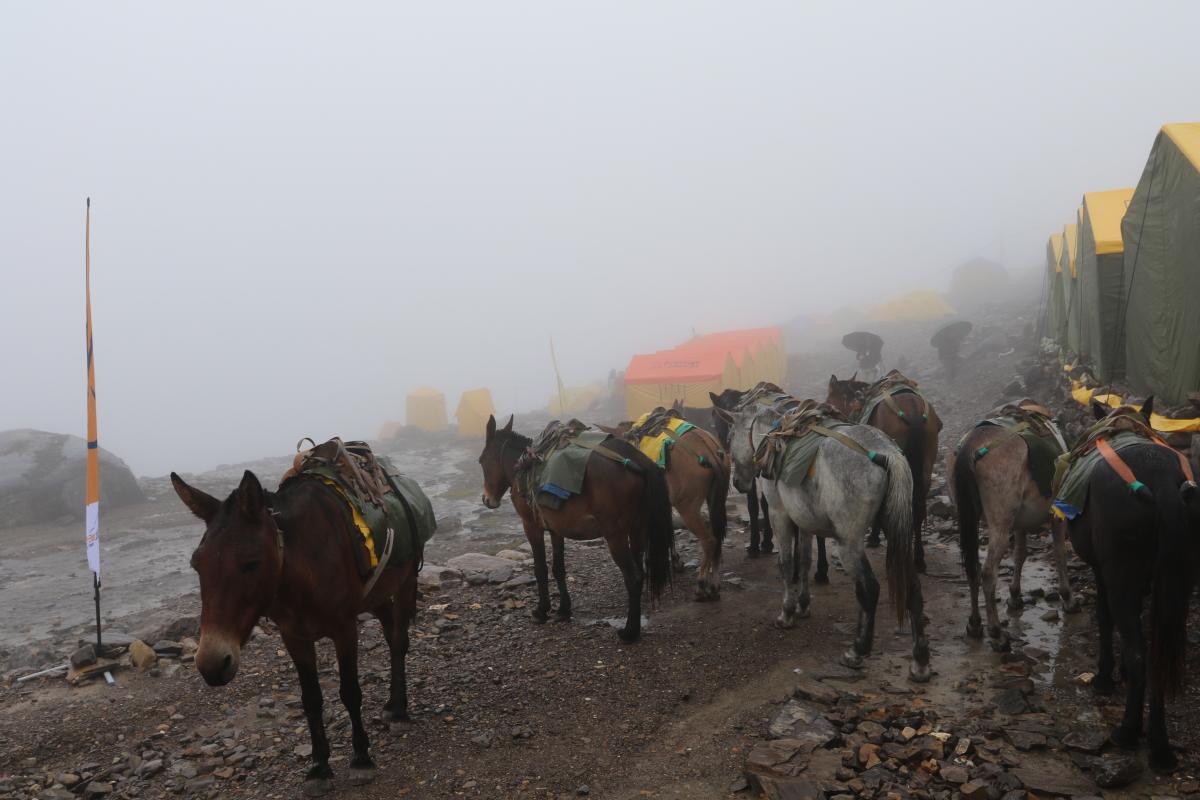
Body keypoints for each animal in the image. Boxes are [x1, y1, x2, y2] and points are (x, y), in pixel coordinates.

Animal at [171, 470, 417, 796]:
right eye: (196, 565)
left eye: (251, 563)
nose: (212, 664)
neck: (301, 570)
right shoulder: (294, 637)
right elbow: (310, 699)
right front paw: (319, 768)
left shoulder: (345, 629)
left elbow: (350, 692)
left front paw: (361, 759)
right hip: (376, 594)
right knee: (390, 633)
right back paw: (391, 704)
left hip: (405, 579)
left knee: (399, 640)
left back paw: (400, 711)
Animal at [477, 417, 672, 642]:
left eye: (482, 460)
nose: (487, 499)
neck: (523, 466)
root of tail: (634, 459)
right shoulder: (555, 529)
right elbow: (558, 568)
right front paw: (563, 610)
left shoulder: (531, 526)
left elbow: (540, 568)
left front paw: (541, 611)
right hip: (638, 529)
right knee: (640, 571)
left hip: (615, 535)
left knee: (633, 577)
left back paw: (630, 631)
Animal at [715, 398, 931, 681]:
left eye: (730, 437)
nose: (739, 483)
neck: (774, 436)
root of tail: (888, 454)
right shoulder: (804, 519)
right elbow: (805, 560)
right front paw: (803, 605)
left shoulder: (779, 514)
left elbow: (786, 563)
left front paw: (787, 612)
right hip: (895, 530)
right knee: (912, 586)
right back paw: (920, 660)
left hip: (848, 543)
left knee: (869, 589)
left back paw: (858, 650)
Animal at [830, 374, 940, 568]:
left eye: (830, 398)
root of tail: (913, 406)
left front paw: (874, 538)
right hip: (926, 465)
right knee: (918, 506)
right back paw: (919, 557)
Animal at [1070, 398, 1200, 767]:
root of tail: (1162, 482)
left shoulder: (1102, 569)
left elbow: (1104, 618)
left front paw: (1105, 677)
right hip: (1182, 573)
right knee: (1156, 652)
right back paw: (1161, 747)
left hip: (1121, 574)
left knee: (1140, 651)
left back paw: (1128, 731)